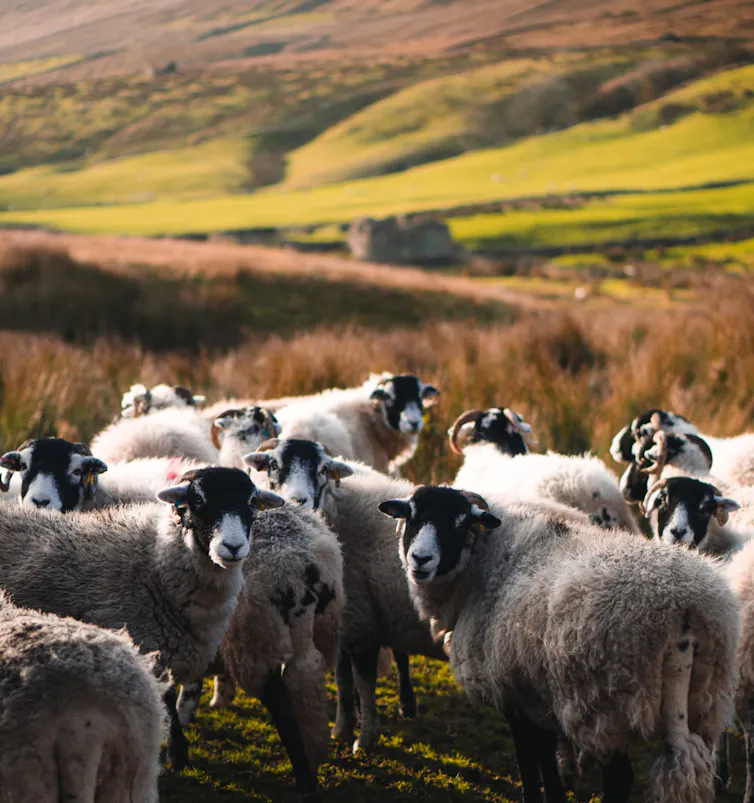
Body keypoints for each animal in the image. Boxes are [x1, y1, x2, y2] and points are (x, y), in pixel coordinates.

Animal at [0, 465, 284, 771]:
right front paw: (177, 751)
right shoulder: (146, 643)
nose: (233, 546)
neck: (155, 563)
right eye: (198, 500)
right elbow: (167, 700)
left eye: (251, 502)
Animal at [243, 439, 444, 753]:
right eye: (274, 465)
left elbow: (362, 677)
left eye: (323, 470)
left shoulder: (358, 616)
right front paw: (345, 724)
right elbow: (342, 676)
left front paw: (364, 736)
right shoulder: (343, 617)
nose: (298, 500)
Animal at [380, 484, 739, 803]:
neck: (486, 565)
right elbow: (545, 757)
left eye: (460, 523)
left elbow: (527, 759)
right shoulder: (534, 692)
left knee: (620, 779)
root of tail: (684, 604)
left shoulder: (510, 690)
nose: (420, 559)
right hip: (705, 700)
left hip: (606, 705)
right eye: (411, 515)